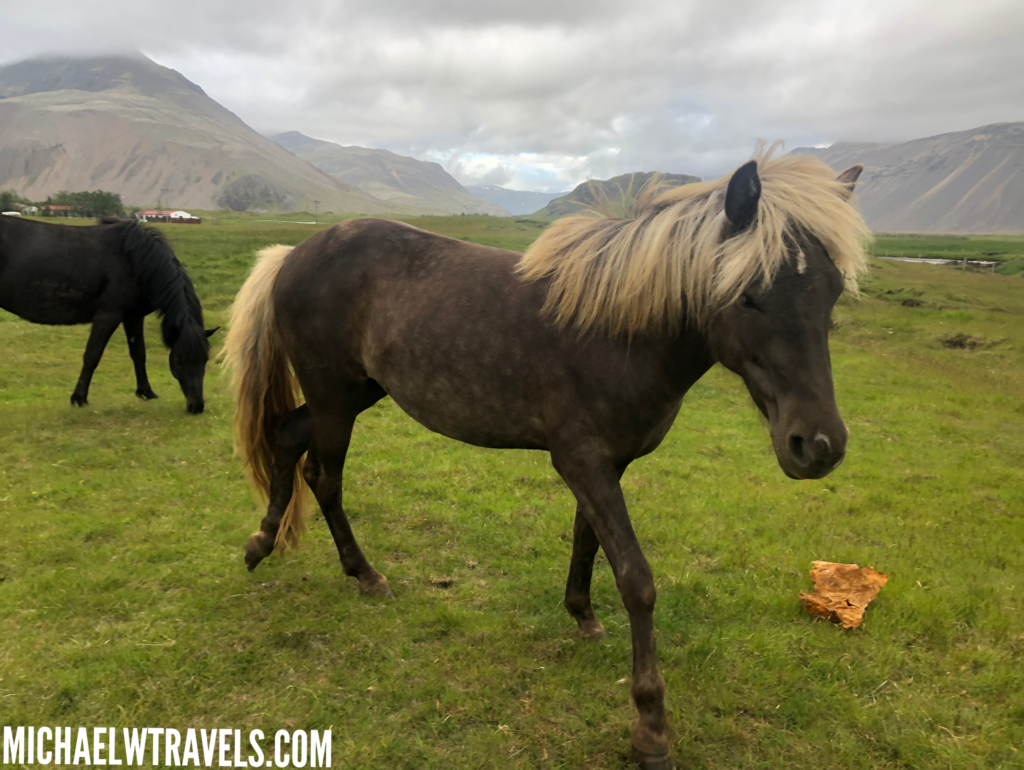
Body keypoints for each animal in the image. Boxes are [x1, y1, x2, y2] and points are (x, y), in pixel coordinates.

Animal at [0, 216, 217, 413]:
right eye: (179, 360)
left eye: (205, 359)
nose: (197, 406)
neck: (136, 262)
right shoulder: (107, 317)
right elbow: (92, 356)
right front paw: (79, 398)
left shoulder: (133, 316)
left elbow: (139, 353)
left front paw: (146, 392)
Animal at [222, 146, 868, 769]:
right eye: (749, 296)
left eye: (833, 292)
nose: (818, 446)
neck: (616, 332)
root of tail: (295, 252)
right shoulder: (583, 463)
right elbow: (636, 579)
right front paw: (650, 729)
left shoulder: (605, 465)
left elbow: (588, 541)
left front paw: (582, 615)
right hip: (336, 398)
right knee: (324, 475)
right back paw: (364, 574)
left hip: (355, 393)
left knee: (287, 437)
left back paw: (262, 543)